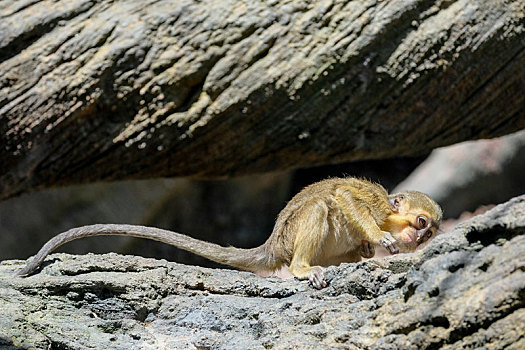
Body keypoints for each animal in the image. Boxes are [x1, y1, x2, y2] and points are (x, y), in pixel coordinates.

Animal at [17, 178, 442, 290]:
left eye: (430, 234)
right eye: (422, 225)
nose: (418, 240)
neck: (388, 216)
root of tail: (273, 244)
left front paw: (373, 248)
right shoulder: (374, 201)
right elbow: (343, 197)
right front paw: (380, 239)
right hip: (291, 238)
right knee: (322, 206)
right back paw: (301, 269)